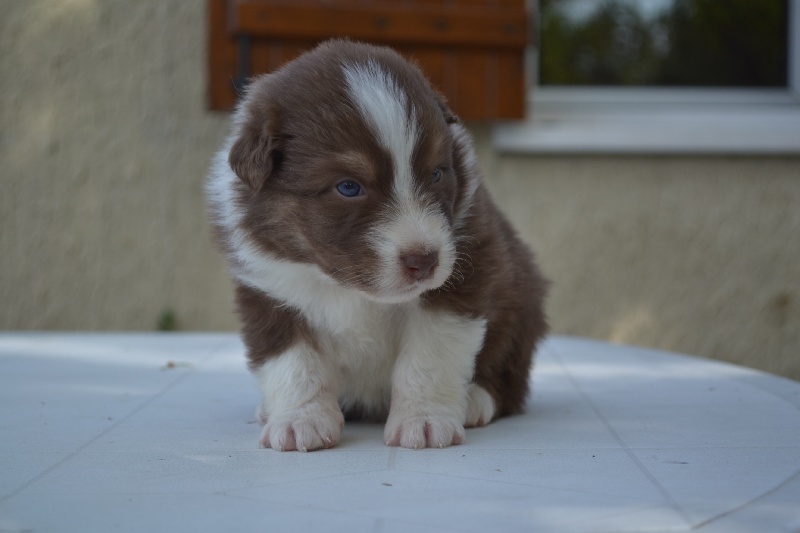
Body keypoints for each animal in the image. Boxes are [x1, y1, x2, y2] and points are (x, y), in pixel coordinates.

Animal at [207, 40, 548, 451]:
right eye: (348, 187)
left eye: (437, 173)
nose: (424, 260)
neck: (348, 287)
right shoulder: (269, 291)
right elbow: (294, 363)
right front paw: (298, 420)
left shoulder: (466, 275)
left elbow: (427, 359)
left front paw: (424, 420)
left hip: (521, 301)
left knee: (510, 379)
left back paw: (475, 400)